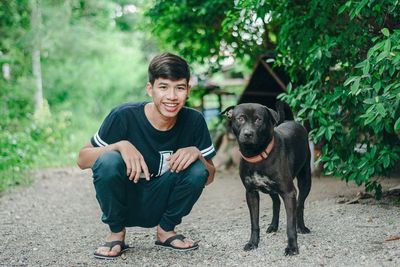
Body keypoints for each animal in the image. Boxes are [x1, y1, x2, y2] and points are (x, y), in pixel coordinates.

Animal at [222, 102, 312, 255]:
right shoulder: (251, 193)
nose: (248, 134)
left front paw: (292, 247)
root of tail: (290, 120)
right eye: (240, 118)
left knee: (300, 205)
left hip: (305, 180)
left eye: (259, 120)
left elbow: (290, 225)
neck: (257, 155)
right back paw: (273, 226)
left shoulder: (289, 193)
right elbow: (254, 223)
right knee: (276, 203)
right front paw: (253, 243)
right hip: (271, 189)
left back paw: (302, 227)